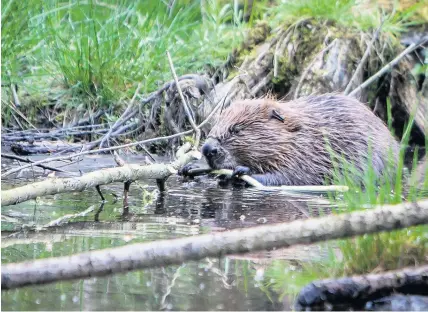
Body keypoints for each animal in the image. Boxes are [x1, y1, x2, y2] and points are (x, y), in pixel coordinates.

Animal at [181, 92, 402, 185]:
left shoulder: (307, 154)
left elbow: (292, 177)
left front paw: (240, 172)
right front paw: (191, 166)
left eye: (236, 129)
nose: (208, 149)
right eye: (215, 124)